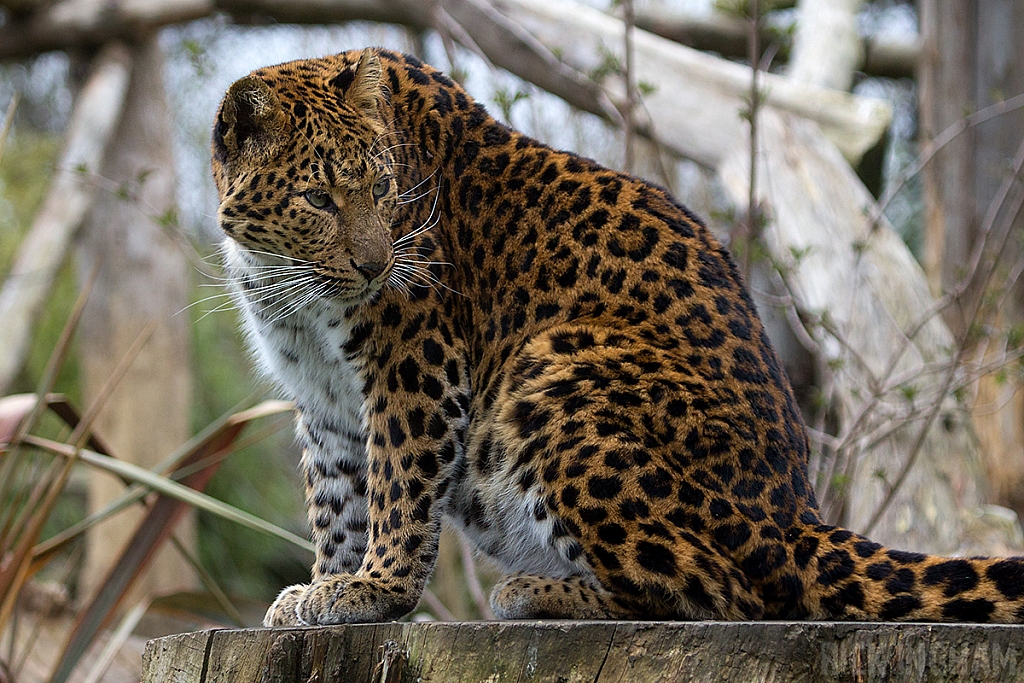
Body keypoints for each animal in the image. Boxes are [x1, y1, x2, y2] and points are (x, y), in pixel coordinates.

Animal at [211, 46, 1024, 626]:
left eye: (381, 190)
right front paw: (324, 585)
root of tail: (797, 514)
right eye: (318, 198)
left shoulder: (415, 363)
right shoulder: (326, 400)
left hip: (557, 366)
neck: (286, 284)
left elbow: (399, 485)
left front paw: (376, 589)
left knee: (726, 594)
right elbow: (336, 497)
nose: (378, 265)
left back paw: (535, 594)